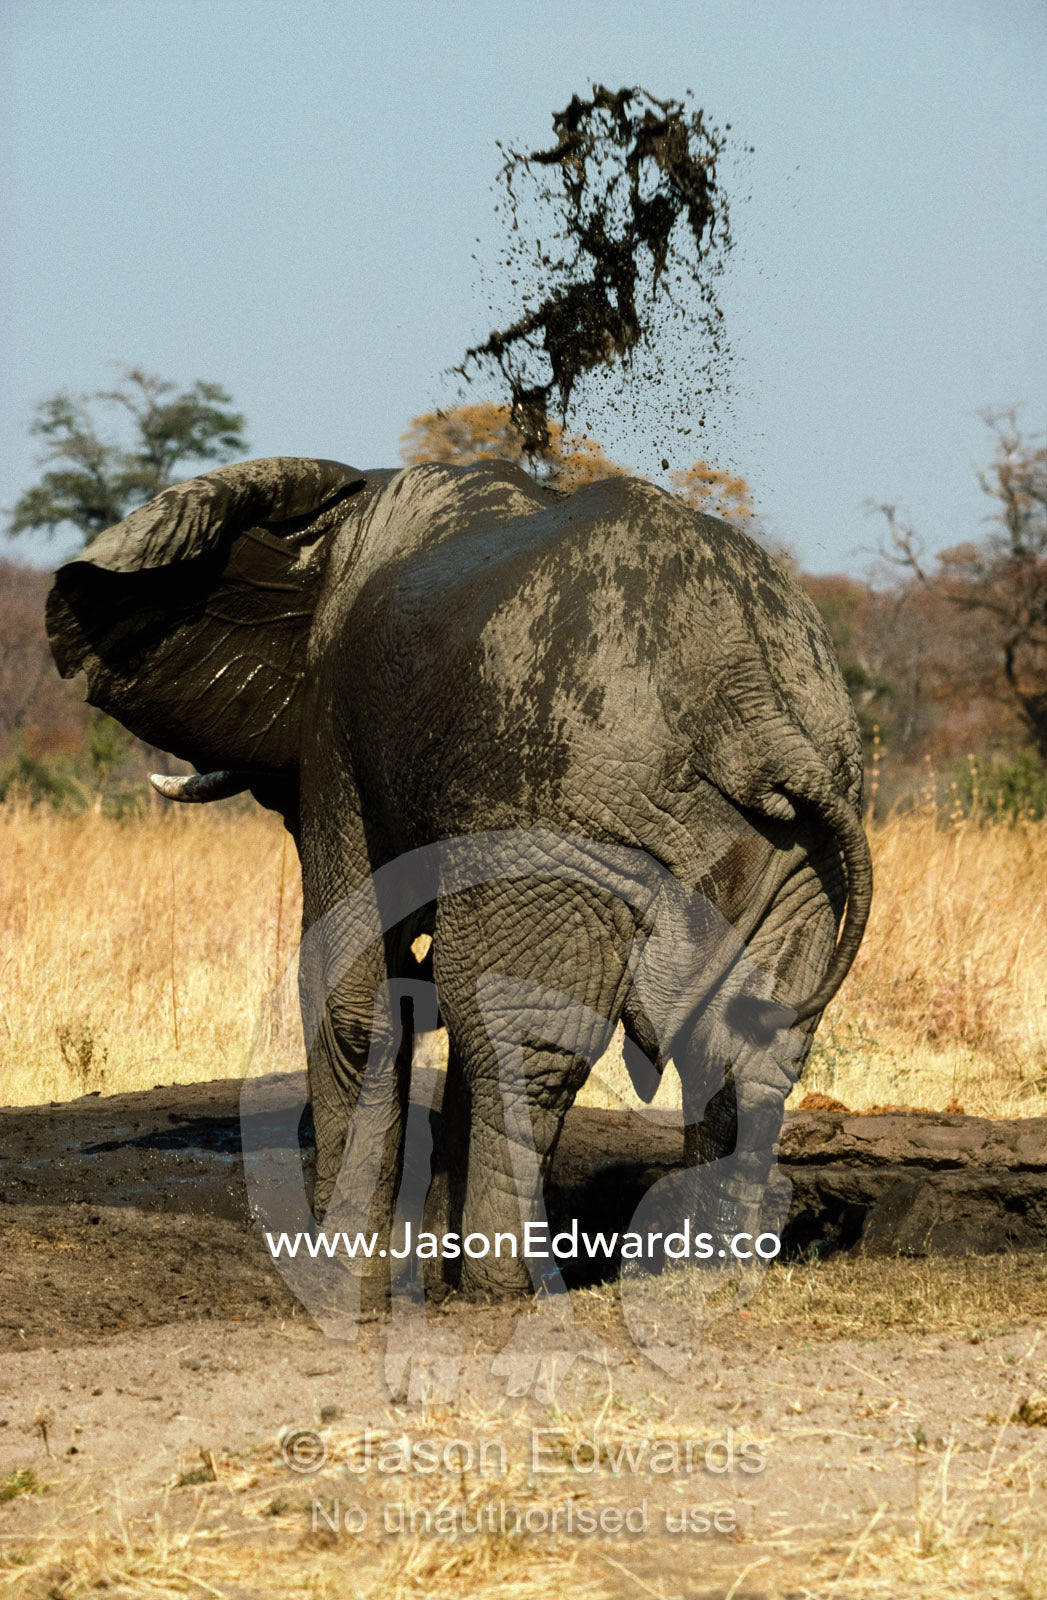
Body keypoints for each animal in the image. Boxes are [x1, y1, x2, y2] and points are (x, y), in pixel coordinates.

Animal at [46, 455, 872, 1301]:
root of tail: (752, 698)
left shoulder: (337, 727)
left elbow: (355, 989)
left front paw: (344, 1265)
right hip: (800, 845)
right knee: (745, 1045)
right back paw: (701, 1276)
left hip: (556, 816)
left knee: (523, 1038)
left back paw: (499, 1288)